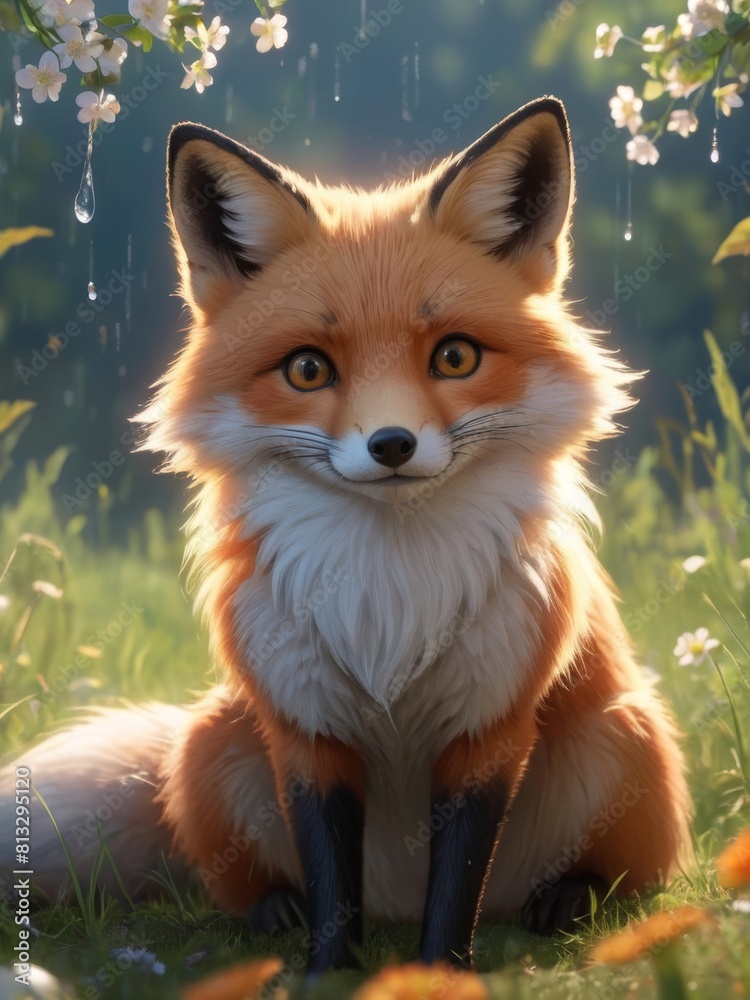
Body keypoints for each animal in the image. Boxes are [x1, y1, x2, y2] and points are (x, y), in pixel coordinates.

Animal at [0, 96, 692, 971]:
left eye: (455, 356)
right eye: (307, 370)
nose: (391, 444)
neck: (390, 597)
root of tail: (392, 899)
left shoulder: (488, 725)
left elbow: (457, 888)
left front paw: (436, 977)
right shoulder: (306, 727)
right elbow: (332, 882)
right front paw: (328, 973)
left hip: (626, 735)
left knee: (617, 879)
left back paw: (570, 896)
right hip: (209, 742)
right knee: (252, 881)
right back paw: (272, 911)